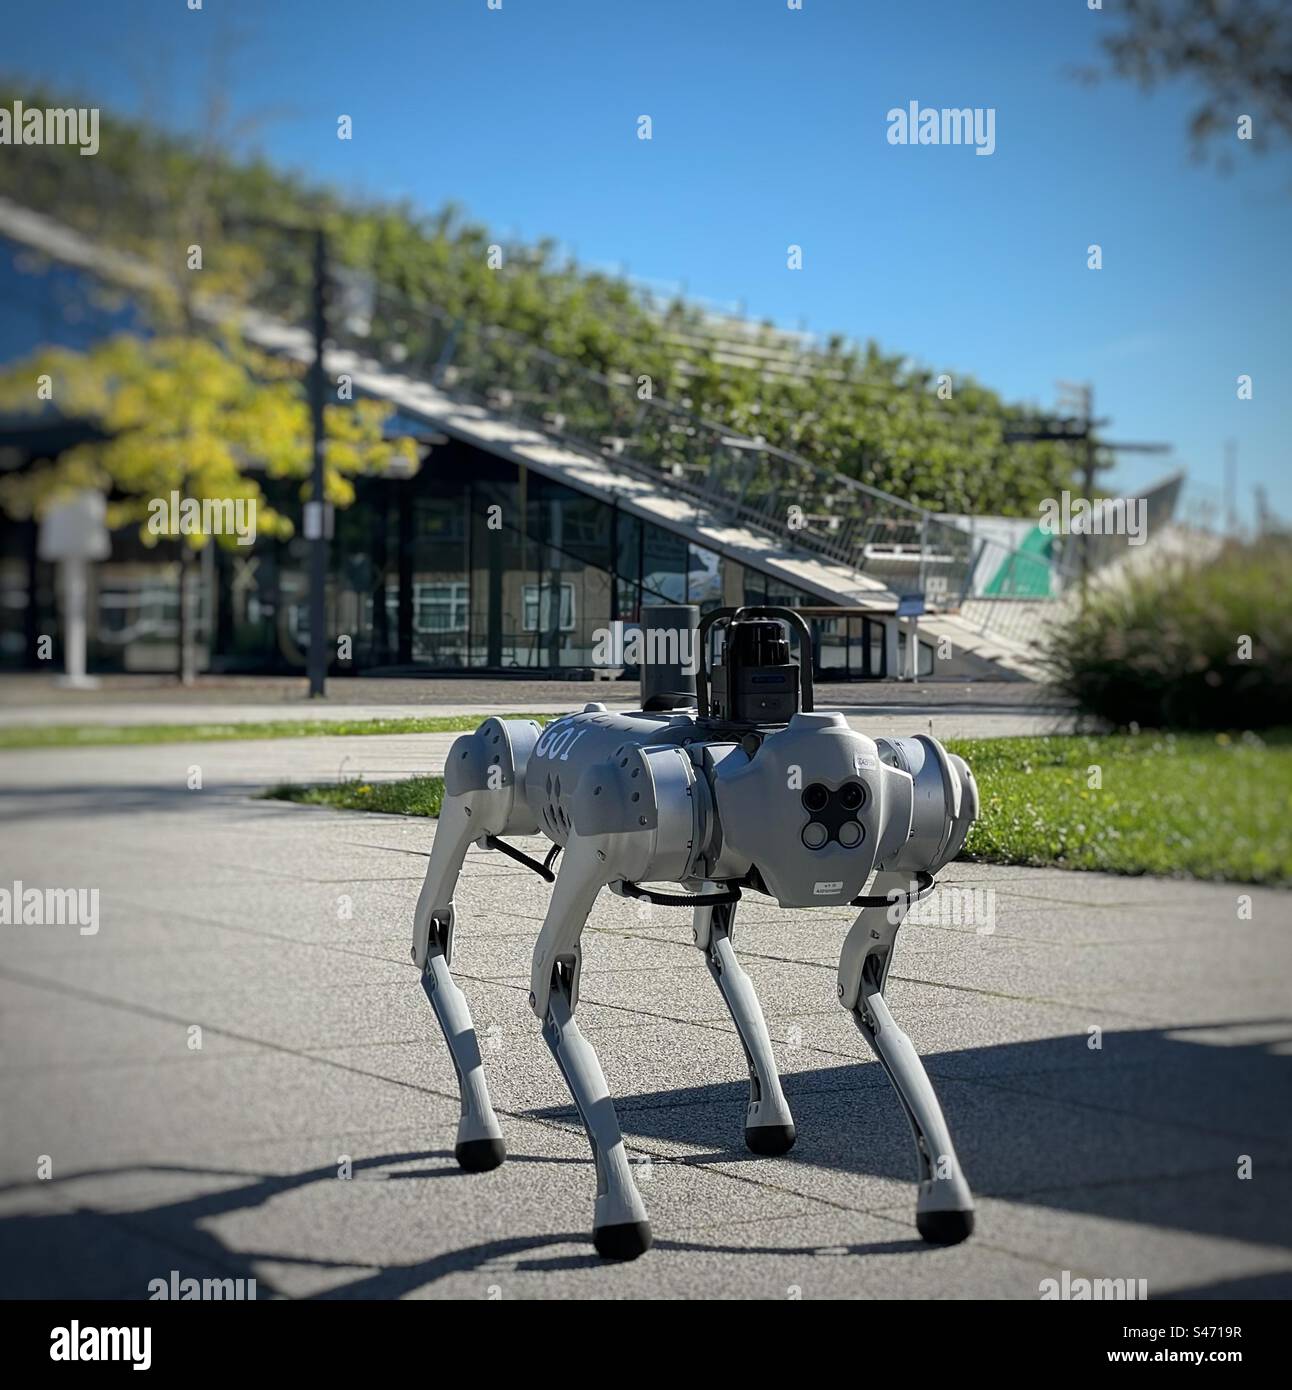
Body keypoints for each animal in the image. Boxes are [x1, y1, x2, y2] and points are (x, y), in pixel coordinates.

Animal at [408, 606, 973, 1262]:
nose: (834, 816)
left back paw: (769, 1115)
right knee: (432, 923)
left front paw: (945, 1195)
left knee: (718, 945)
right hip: (490, 778)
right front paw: (620, 1213)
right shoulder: (607, 817)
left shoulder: (907, 847)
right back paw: (478, 1130)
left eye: (849, 795)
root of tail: (563, 724)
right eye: (825, 796)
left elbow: (860, 978)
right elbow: (551, 978)